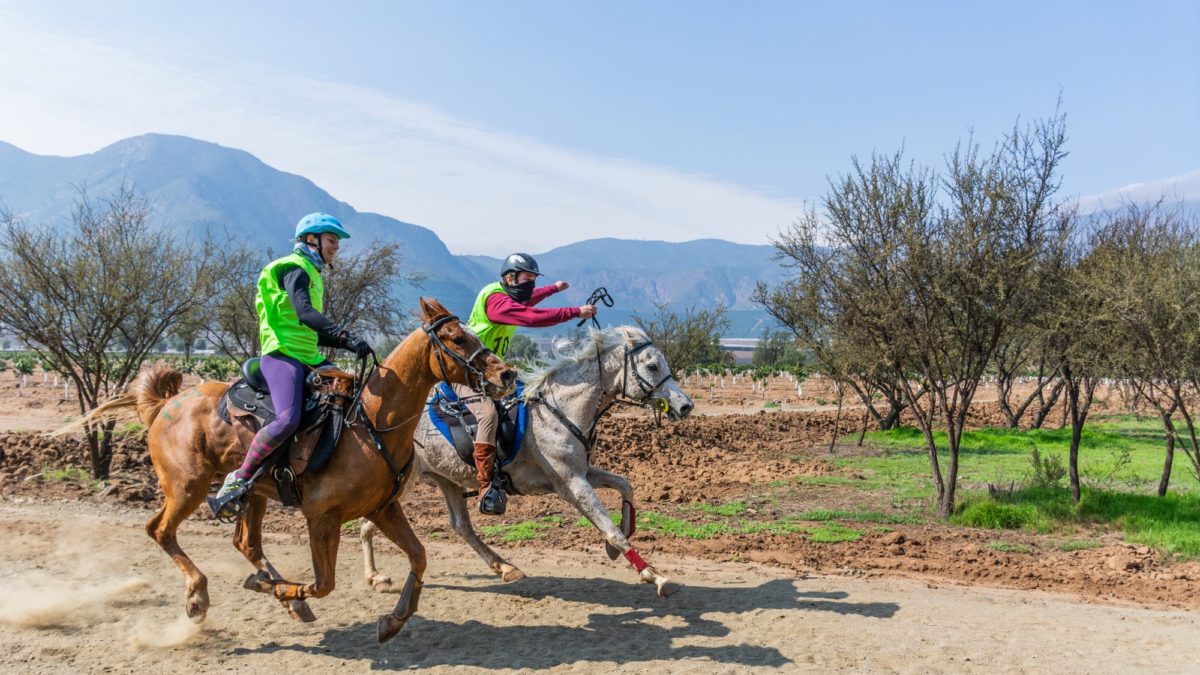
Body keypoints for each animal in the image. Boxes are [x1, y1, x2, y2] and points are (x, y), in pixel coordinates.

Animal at [82, 297, 513, 638]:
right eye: (457, 338)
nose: (505, 373)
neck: (371, 424)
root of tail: (165, 405)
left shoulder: (383, 508)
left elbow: (419, 556)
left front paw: (393, 620)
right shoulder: (321, 517)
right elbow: (324, 583)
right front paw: (274, 589)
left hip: (254, 494)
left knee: (246, 543)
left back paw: (284, 598)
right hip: (187, 487)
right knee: (160, 530)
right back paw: (200, 596)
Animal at [355, 326, 696, 593]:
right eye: (652, 366)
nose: (685, 406)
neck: (559, 410)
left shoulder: (581, 472)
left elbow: (625, 486)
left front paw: (618, 543)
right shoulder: (572, 484)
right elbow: (608, 526)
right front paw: (652, 574)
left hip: (445, 479)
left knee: (460, 526)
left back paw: (504, 567)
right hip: (405, 481)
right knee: (370, 522)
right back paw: (374, 576)